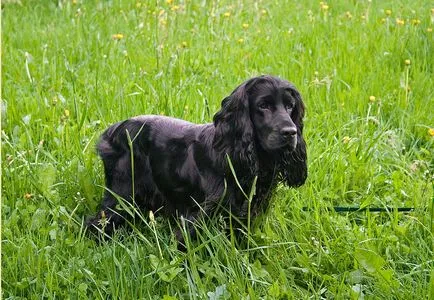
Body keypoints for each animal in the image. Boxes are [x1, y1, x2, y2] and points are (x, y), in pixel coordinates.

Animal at [86, 75, 306, 248]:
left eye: (290, 106)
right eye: (263, 105)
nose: (291, 133)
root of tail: (112, 130)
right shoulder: (199, 215)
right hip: (122, 193)